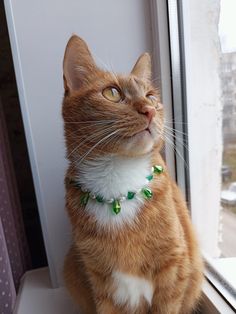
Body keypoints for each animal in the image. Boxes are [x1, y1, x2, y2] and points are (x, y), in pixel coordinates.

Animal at [62, 35, 203, 312]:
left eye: (151, 96)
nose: (149, 110)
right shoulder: (101, 284)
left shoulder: (174, 269)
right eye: (112, 93)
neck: (117, 178)